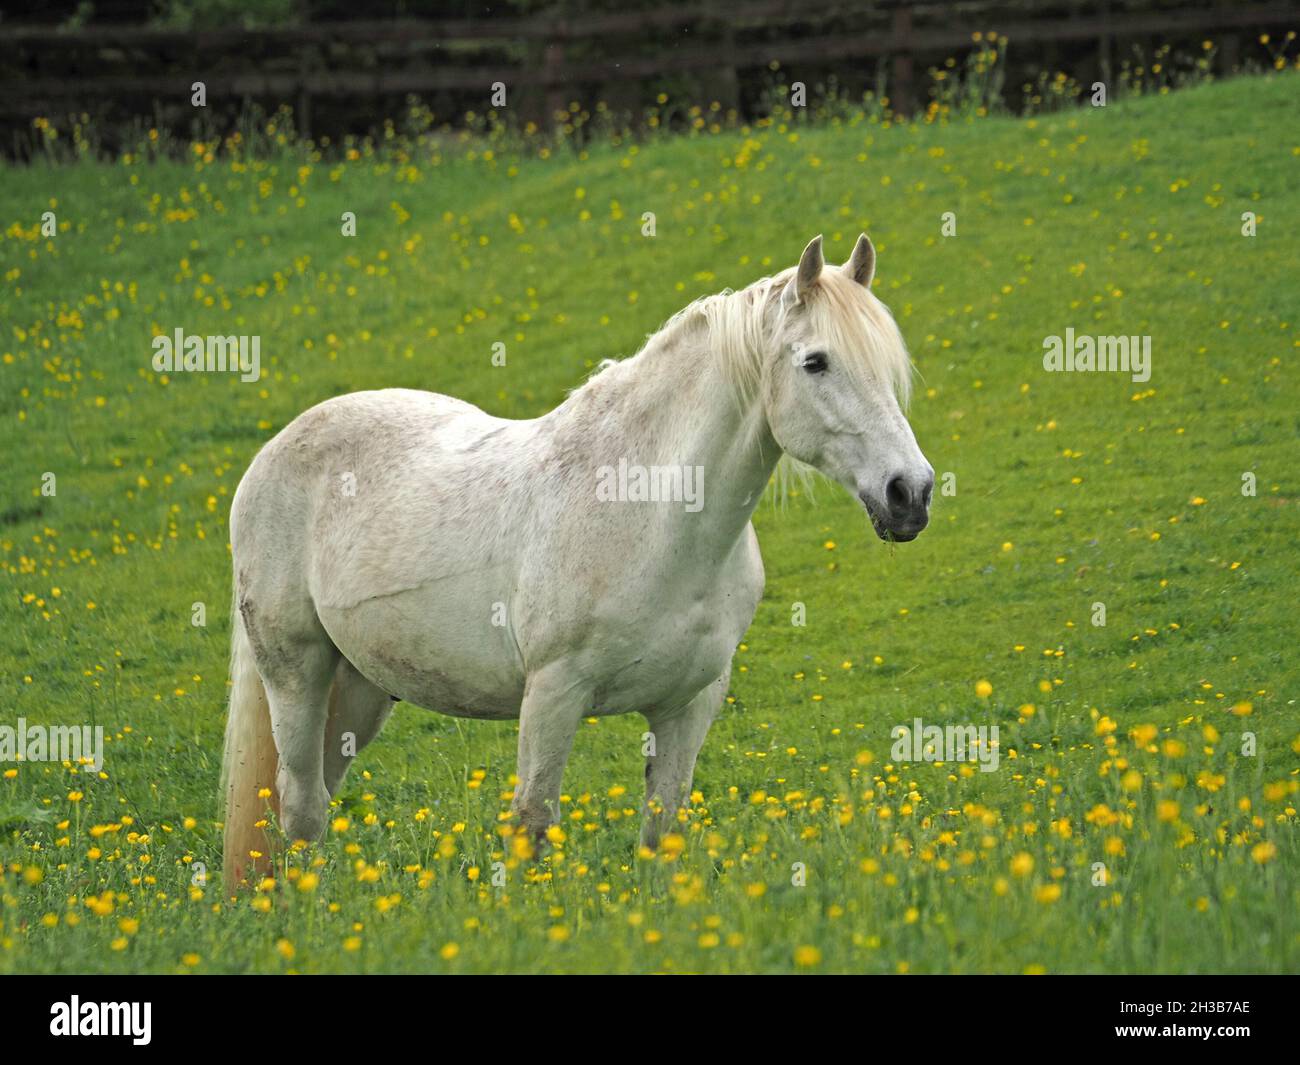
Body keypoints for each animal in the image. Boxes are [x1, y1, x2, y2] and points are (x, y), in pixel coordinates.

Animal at [220, 233, 933, 885]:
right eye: (815, 362)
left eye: (886, 363)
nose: (911, 493)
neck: (649, 515)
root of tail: (273, 452)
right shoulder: (552, 696)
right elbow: (533, 823)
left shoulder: (689, 704)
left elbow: (662, 830)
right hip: (296, 674)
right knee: (302, 808)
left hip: (362, 690)